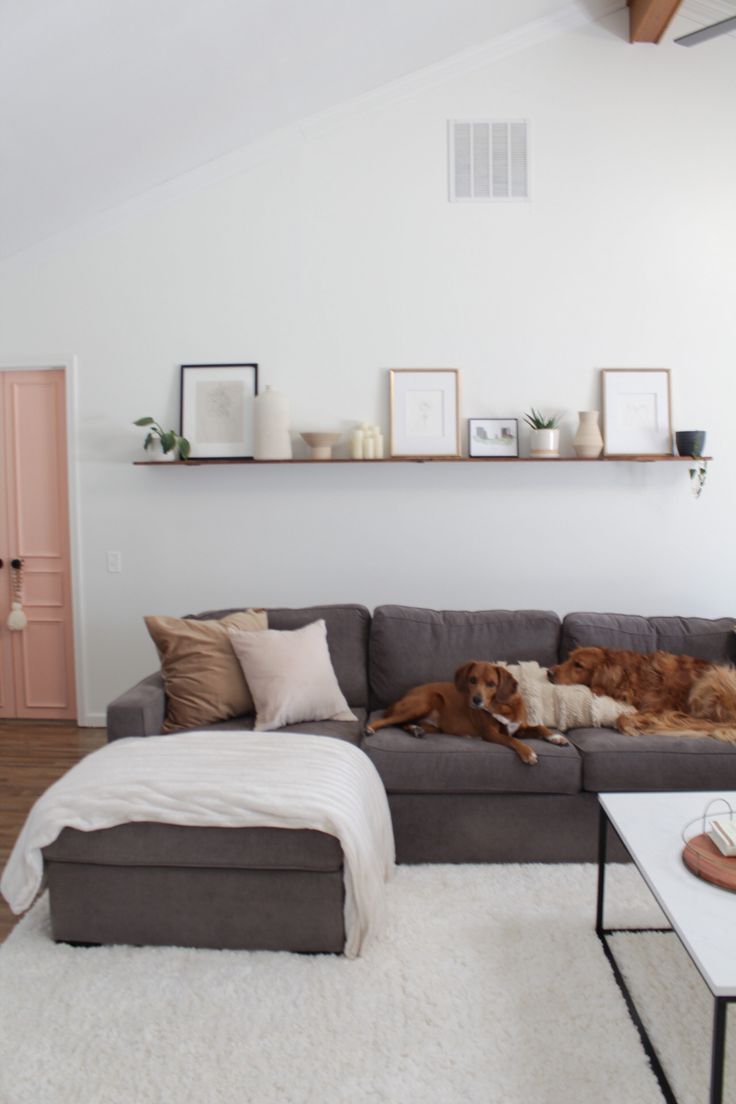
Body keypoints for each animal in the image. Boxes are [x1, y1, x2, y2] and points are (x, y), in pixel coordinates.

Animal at [368, 657, 569, 763]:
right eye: (472, 680)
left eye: (491, 684)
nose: (476, 700)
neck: (502, 706)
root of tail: (402, 696)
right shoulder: (491, 733)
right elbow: (511, 740)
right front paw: (528, 752)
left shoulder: (519, 728)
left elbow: (539, 728)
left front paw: (556, 737)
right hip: (423, 703)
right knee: (388, 720)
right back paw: (371, 727)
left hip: (432, 724)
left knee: (404, 723)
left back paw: (416, 730)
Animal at [549, 644, 736, 746]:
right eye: (569, 658)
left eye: (578, 665)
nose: (549, 672)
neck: (630, 676)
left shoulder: (658, 708)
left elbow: (622, 718)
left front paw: (632, 727)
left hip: (714, 676)